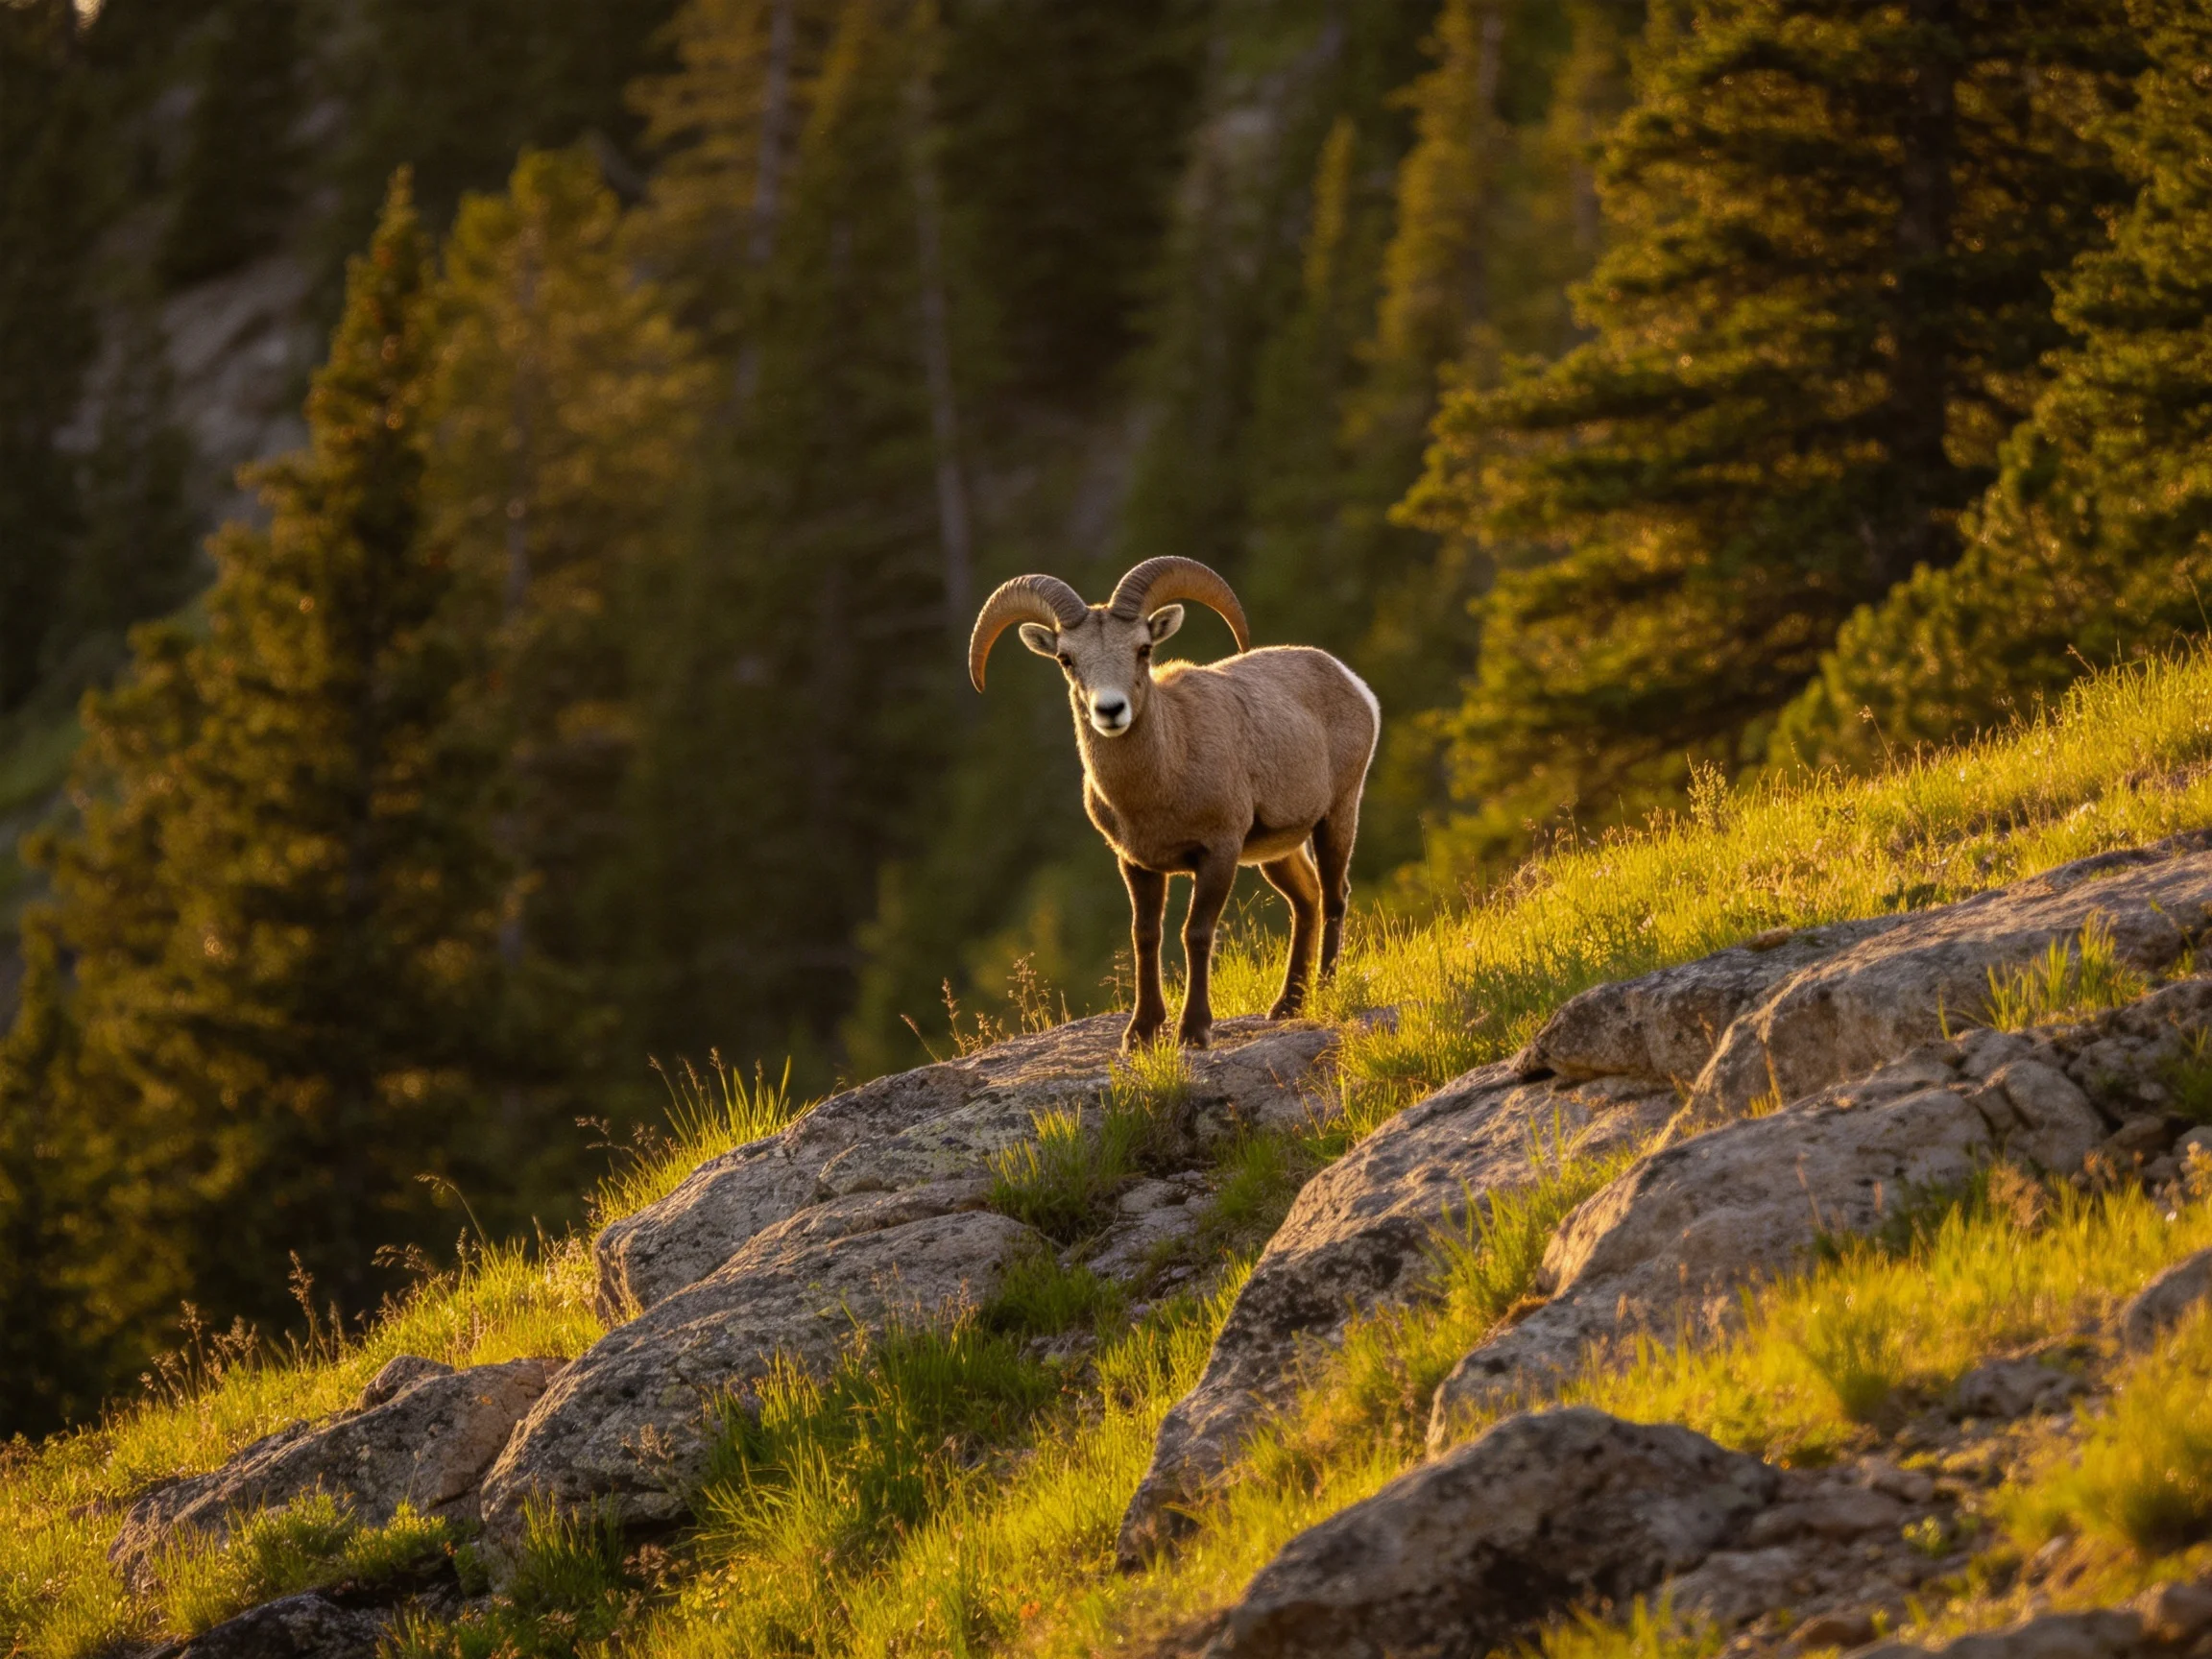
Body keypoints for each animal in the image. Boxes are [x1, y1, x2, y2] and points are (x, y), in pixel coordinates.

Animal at [969, 556, 1380, 1049]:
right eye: (1067, 659)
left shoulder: (1217, 854)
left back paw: (1323, 991)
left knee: (1335, 896)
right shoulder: (1136, 864)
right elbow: (1145, 936)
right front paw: (1140, 1032)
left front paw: (1193, 1031)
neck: (1163, 776)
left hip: (1337, 816)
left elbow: (1196, 934)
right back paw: (1286, 1006)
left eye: (1143, 649)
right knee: (1307, 900)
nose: (1110, 710)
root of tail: (1354, 685)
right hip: (1277, 851)